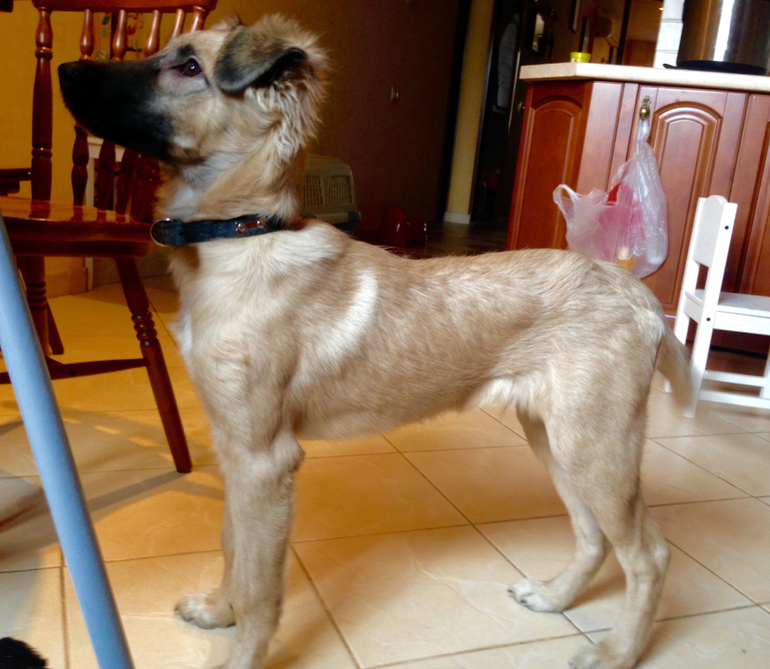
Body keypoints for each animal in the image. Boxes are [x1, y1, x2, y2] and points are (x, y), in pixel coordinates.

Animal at [58, 15, 692, 669]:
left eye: (188, 67)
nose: (64, 69)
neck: (239, 237)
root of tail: (633, 290)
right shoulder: (235, 448)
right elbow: (233, 545)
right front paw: (217, 612)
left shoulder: (265, 460)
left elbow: (261, 584)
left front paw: (242, 652)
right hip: (557, 437)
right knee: (593, 536)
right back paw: (554, 598)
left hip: (597, 445)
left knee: (648, 555)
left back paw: (617, 651)